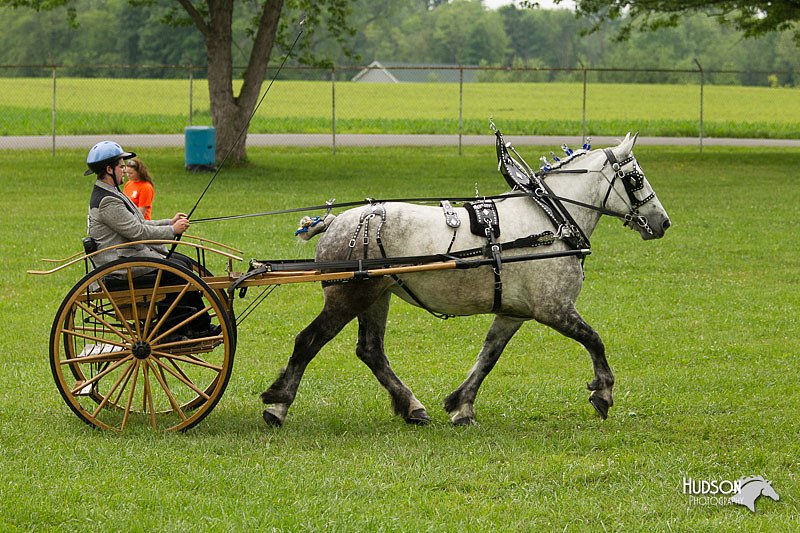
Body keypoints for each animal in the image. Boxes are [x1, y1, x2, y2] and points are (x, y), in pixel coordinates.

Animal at [260, 135, 668, 426]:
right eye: (636, 178)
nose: (663, 222)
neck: (550, 221)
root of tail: (335, 223)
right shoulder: (553, 308)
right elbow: (594, 340)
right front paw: (603, 392)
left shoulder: (513, 312)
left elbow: (488, 356)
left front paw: (462, 405)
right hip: (349, 297)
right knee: (309, 341)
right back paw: (277, 405)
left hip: (377, 295)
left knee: (371, 351)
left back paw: (412, 406)